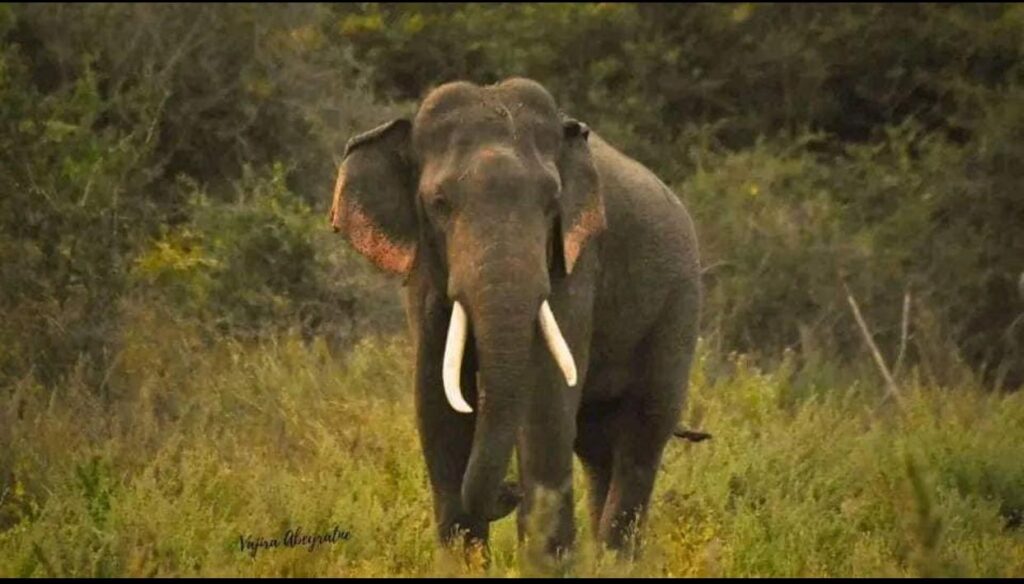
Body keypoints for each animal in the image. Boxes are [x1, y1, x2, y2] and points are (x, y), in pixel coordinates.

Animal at [329, 77, 701, 561]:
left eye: (551, 202)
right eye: (439, 203)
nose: (509, 492)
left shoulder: (577, 262)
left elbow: (545, 394)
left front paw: (546, 561)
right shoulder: (425, 270)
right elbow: (437, 400)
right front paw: (463, 563)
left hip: (679, 305)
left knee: (641, 434)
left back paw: (617, 561)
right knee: (598, 446)